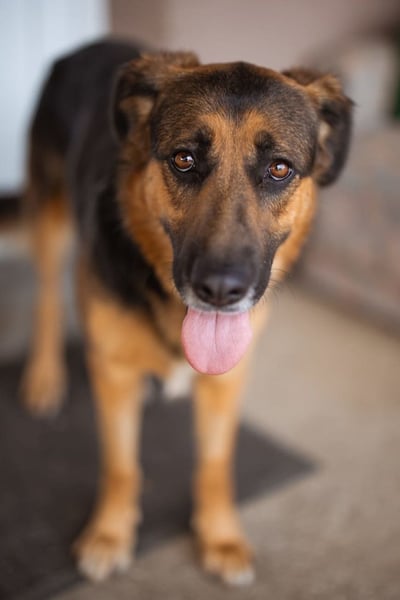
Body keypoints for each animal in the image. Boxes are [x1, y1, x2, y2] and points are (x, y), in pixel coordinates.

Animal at [20, 39, 352, 585]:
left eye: (280, 168)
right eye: (183, 159)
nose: (220, 289)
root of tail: (87, 46)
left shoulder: (228, 380)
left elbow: (215, 465)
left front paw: (220, 537)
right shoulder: (112, 373)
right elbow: (121, 465)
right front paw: (109, 533)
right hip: (50, 216)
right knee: (46, 296)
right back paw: (45, 377)